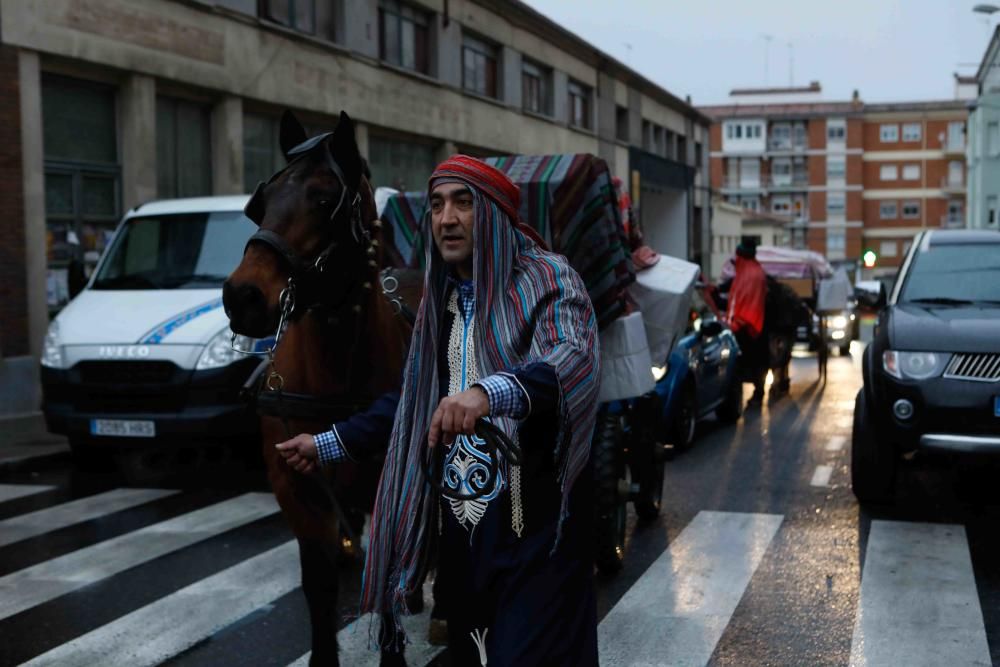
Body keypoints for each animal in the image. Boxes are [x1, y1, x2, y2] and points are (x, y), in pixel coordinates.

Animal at [225, 112, 412, 664]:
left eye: (326, 199)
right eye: (260, 202)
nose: (242, 295)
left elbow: (388, 579)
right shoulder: (297, 491)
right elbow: (319, 585)